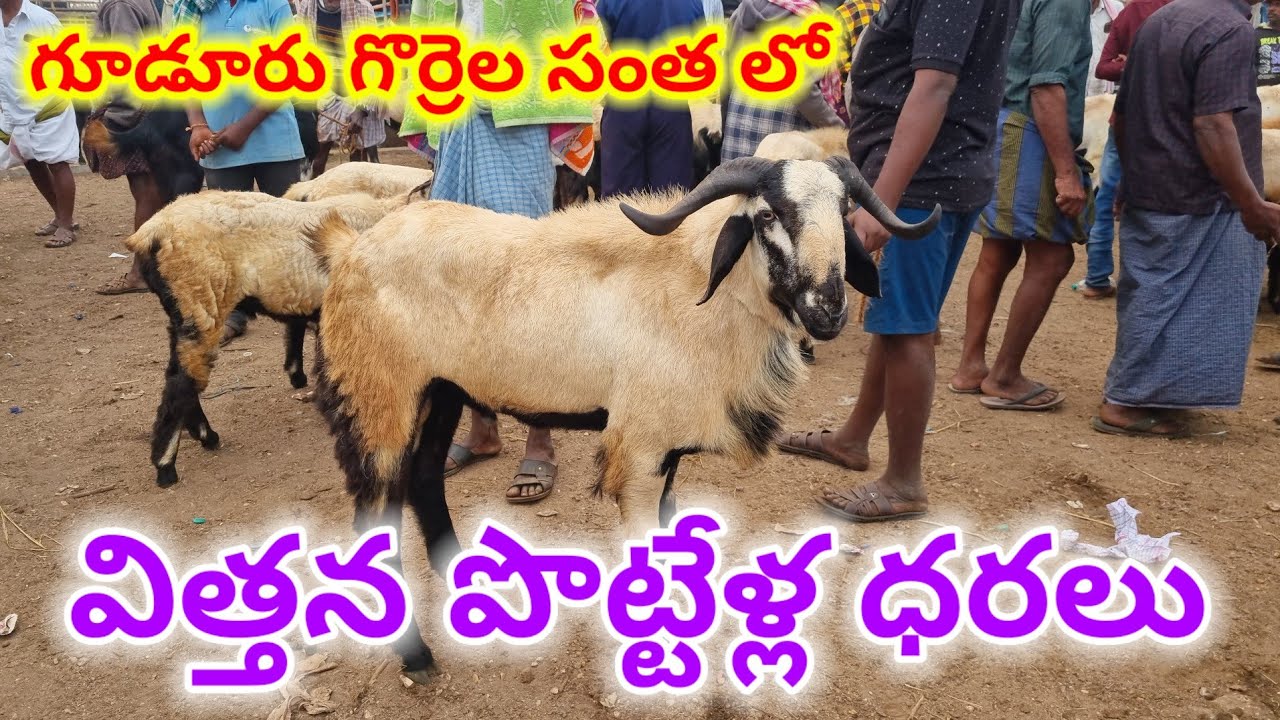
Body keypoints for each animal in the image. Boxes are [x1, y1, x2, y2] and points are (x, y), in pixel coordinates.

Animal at [129, 186, 430, 488]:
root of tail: (150, 234)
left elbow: (297, 336)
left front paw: (300, 379)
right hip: (200, 301)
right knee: (181, 383)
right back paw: (167, 465)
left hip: (184, 312)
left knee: (181, 375)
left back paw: (203, 436)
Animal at [309, 156, 940, 681]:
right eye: (767, 216)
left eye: (844, 211)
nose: (828, 309)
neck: (701, 295)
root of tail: (350, 249)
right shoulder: (641, 447)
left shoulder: (668, 445)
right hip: (380, 395)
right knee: (376, 516)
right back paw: (416, 657)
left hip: (442, 391)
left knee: (423, 480)